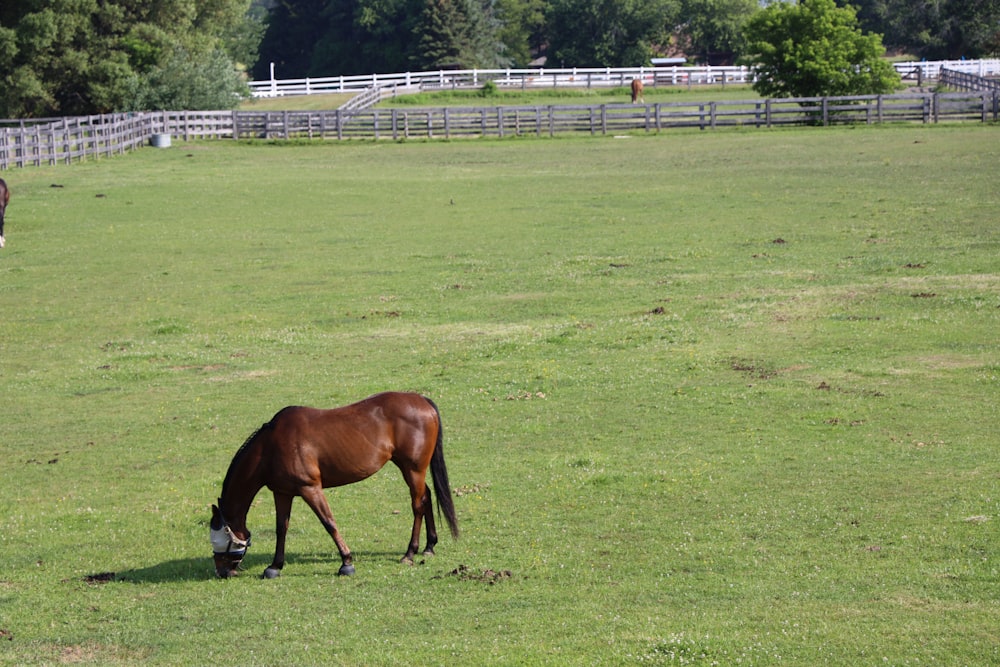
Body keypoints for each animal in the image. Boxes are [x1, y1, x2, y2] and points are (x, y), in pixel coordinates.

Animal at [213, 392, 462, 580]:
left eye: (217, 539)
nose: (221, 571)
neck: (271, 446)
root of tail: (422, 400)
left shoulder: (310, 488)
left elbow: (329, 523)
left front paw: (346, 562)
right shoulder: (282, 493)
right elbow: (281, 528)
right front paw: (275, 566)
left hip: (413, 469)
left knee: (418, 504)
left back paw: (410, 553)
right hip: (410, 469)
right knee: (426, 496)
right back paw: (429, 546)